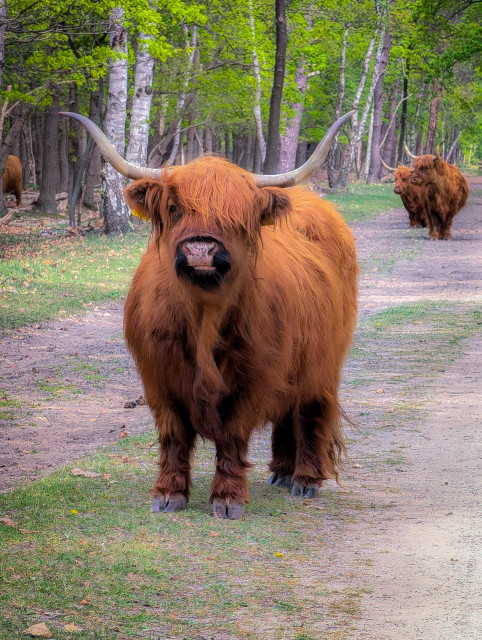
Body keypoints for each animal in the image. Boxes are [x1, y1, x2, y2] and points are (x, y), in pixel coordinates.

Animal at [60, 111, 358, 519]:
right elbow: (173, 434)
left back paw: (304, 480)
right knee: (286, 412)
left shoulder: (254, 375)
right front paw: (168, 494)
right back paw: (281, 473)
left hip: (322, 360)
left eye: (239, 216)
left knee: (311, 410)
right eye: (174, 209)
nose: (201, 249)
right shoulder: (158, 376)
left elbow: (232, 435)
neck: (203, 317)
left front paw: (228, 498)